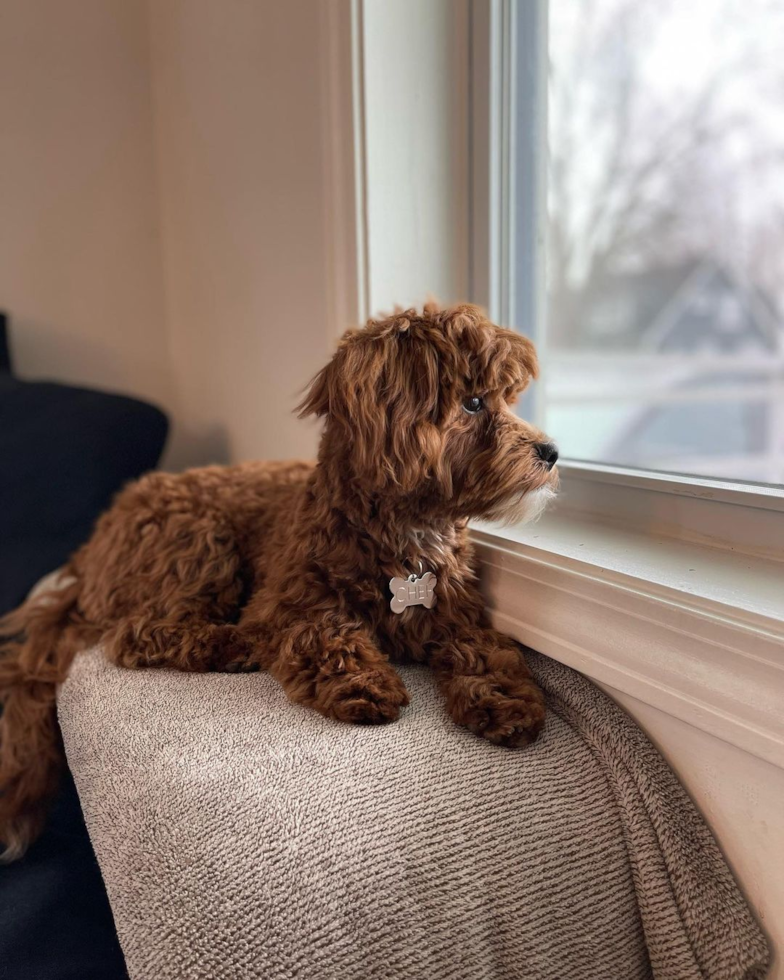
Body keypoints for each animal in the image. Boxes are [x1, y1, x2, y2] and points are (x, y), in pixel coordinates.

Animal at [0, 302, 556, 860]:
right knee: (137, 634)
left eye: (507, 399)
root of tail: (93, 548)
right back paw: (235, 646)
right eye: (473, 402)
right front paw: (363, 679)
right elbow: (324, 633)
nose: (551, 452)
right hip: (202, 541)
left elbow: (485, 650)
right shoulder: (286, 601)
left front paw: (504, 699)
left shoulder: (456, 612)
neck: (405, 533)